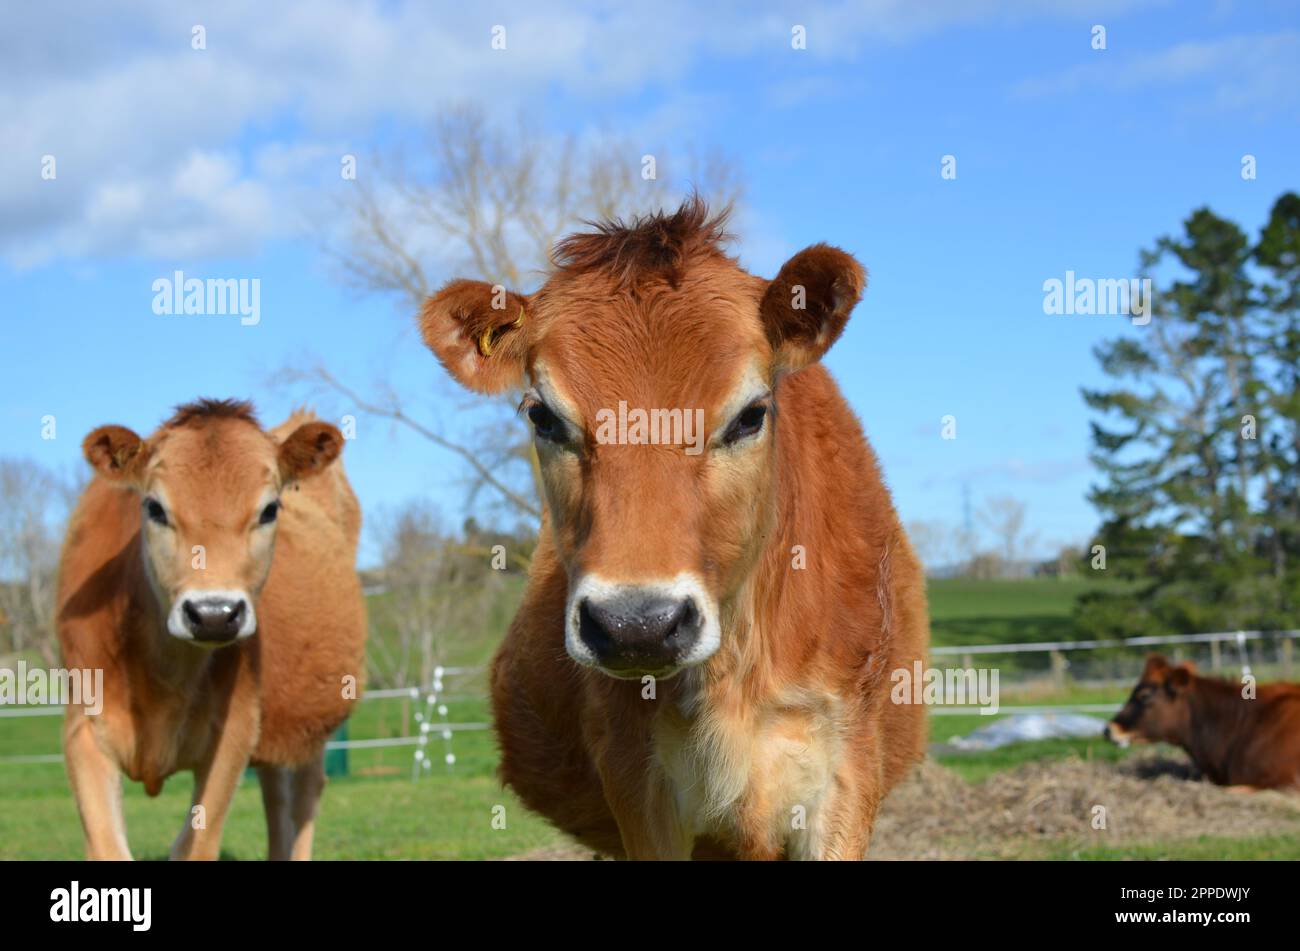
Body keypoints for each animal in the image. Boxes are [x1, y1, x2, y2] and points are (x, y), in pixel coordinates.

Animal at [57, 397, 369, 857]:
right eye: (154, 507)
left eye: (270, 509)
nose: (214, 613)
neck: (163, 673)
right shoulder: (83, 729)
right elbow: (107, 847)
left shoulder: (233, 733)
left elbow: (197, 845)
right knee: (275, 795)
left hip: (312, 722)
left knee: (304, 796)